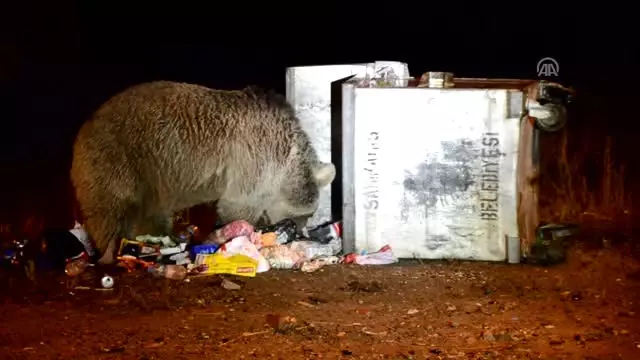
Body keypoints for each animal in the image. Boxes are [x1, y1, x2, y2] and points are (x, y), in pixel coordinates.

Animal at [71, 81, 336, 264]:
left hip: (154, 176)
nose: (300, 233)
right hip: (118, 157)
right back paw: (110, 251)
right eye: (305, 215)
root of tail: (85, 127)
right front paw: (243, 234)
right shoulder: (255, 159)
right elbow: (238, 205)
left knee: (152, 213)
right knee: (110, 207)